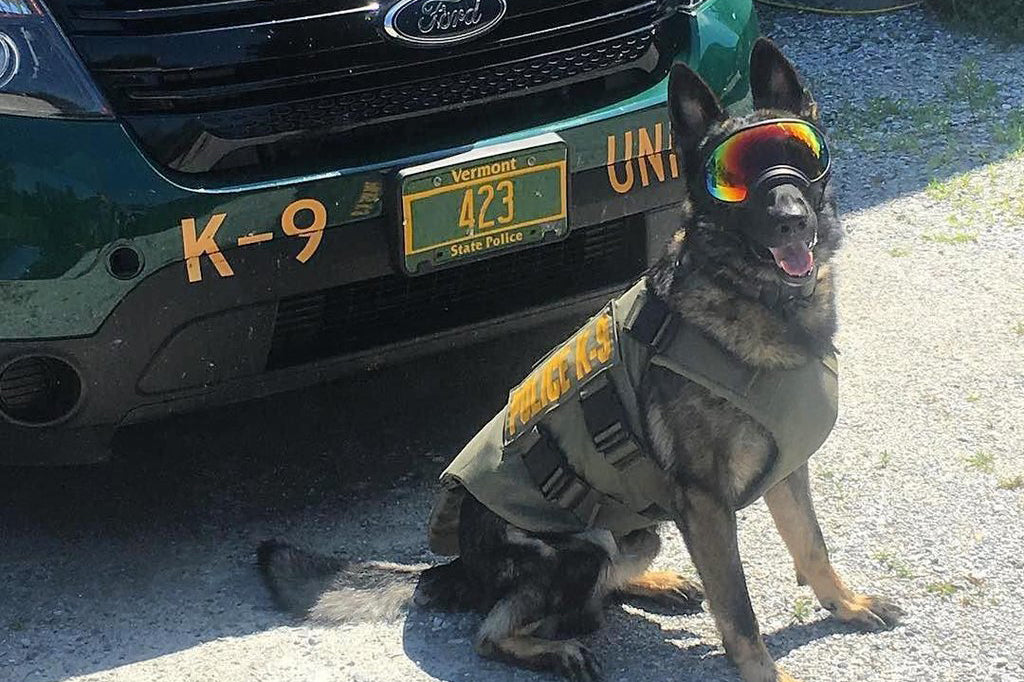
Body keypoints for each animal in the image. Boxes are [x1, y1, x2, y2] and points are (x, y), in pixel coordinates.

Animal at [258, 39, 905, 679]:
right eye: (735, 179)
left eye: (801, 158)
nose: (792, 220)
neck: (758, 301)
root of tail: (459, 565)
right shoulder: (707, 505)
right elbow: (738, 608)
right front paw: (764, 670)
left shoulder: (787, 471)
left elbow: (813, 546)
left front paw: (846, 604)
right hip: (579, 548)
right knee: (498, 631)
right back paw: (560, 649)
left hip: (640, 533)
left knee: (604, 590)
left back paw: (656, 583)